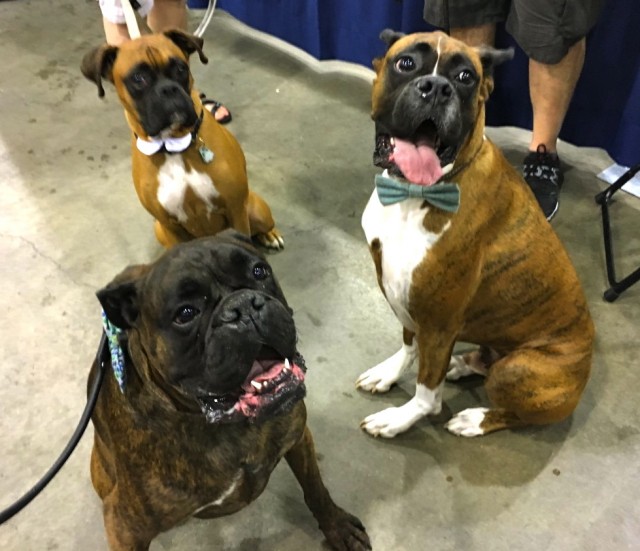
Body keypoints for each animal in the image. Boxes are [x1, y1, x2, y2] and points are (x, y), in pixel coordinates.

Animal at [80, 30, 282, 250]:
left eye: (180, 68)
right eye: (138, 78)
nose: (168, 89)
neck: (173, 146)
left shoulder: (236, 210)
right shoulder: (169, 226)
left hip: (255, 209)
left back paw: (270, 234)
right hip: (159, 229)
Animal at [90, 231, 370, 548]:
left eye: (259, 271)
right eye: (186, 313)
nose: (244, 305)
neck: (232, 426)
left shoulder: (299, 438)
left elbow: (315, 487)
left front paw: (337, 526)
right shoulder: (124, 526)